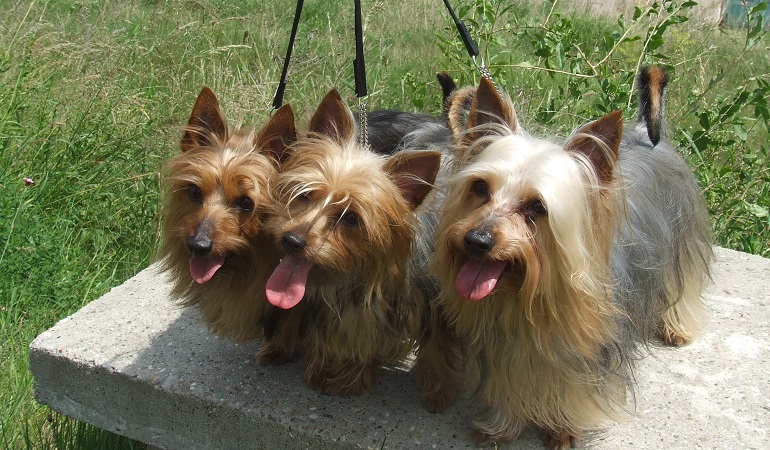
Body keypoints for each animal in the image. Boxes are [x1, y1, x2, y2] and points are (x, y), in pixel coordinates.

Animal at [426, 68, 708, 448]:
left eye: (537, 207)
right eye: (480, 187)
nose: (477, 240)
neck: (525, 296)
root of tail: (641, 133)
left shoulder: (585, 352)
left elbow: (572, 391)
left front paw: (562, 430)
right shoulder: (507, 344)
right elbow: (509, 381)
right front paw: (501, 426)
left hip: (682, 241)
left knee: (684, 284)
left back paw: (677, 328)